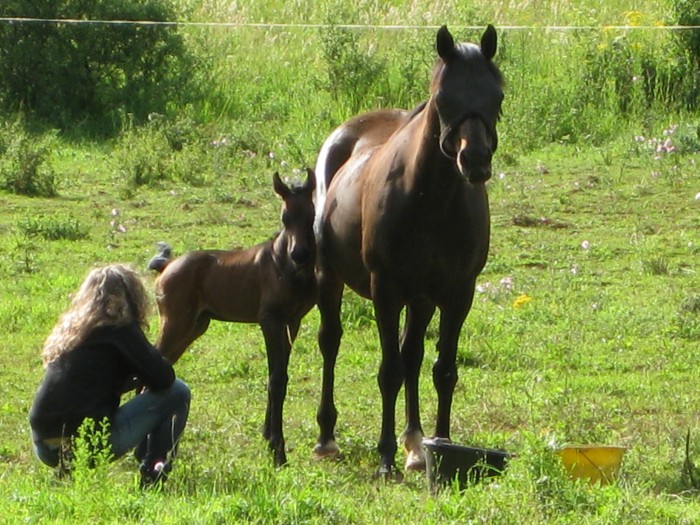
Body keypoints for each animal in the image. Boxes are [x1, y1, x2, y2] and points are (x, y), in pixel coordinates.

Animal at [154, 170, 320, 464]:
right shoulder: (270, 321)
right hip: (176, 324)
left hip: (195, 326)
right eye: (285, 217)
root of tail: (165, 267)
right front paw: (278, 451)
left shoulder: (292, 322)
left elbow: (278, 375)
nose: (300, 254)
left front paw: (267, 437)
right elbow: (277, 380)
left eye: (311, 214)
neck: (284, 266)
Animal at [314, 25, 504, 478]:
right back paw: (327, 438)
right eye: (443, 98)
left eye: (497, 97)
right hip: (329, 276)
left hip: (421, 300)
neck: (430, 200)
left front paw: (441, 444)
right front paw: (385, 458)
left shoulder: (457, 294)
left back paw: (416, 445)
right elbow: (389, 371)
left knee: (413, 354)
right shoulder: (386, 290)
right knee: (331, 340)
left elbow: (442, 370)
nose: (475, 160)